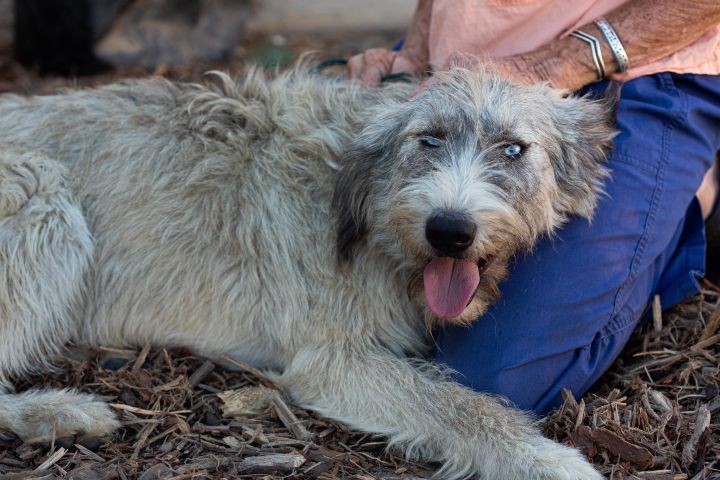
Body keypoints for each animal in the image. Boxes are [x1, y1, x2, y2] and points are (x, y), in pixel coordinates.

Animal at [0, 64, 616, 480]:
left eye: (513, 149)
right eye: (428, 139)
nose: (448, 229)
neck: (364, 207)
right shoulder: (331, 362)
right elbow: (463, 406)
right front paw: (546, 459)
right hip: (44, 196)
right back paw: (54, 412)